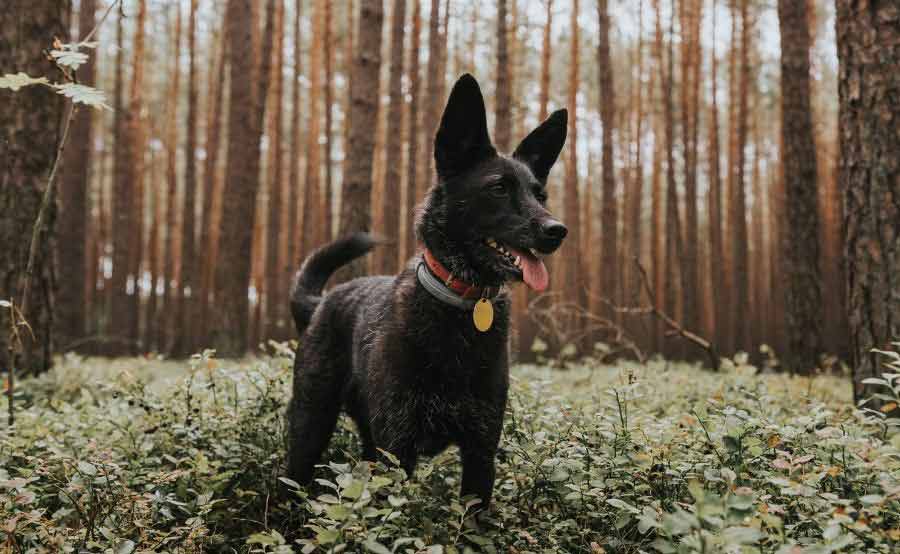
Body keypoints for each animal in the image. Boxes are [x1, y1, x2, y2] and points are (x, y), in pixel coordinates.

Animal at [284, 74, 568, 508]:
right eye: (499, 189)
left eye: (540, 195)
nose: (557, 231)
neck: (462, 304)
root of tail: (321, 303)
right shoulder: (397, 447)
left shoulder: (481, 449)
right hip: (309, 427)